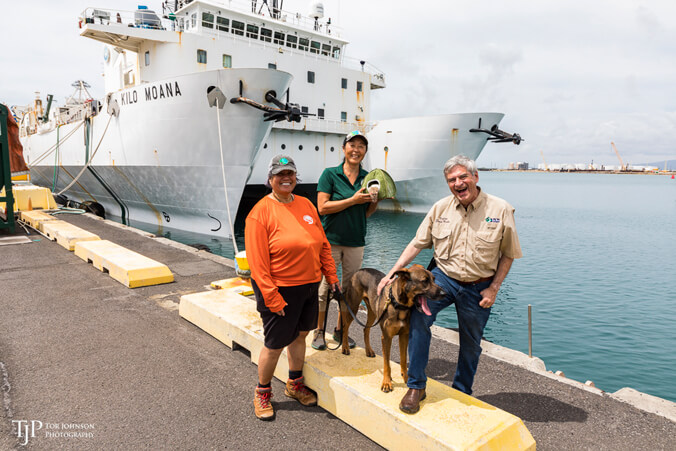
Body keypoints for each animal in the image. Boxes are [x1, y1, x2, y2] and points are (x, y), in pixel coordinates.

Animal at [344, 264, 444, 392]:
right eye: (424, 281)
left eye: (434, 279)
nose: (444, 293)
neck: (400, 305)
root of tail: (360, 270)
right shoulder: (386, 337)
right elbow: (387, 364)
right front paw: (387, 382)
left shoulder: (404, 336)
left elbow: (403, 359)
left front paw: (406, 378)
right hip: (353, 305)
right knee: (345, 326)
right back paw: (345, 347)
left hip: (372, 311)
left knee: (366, 329)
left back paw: (369, 350)